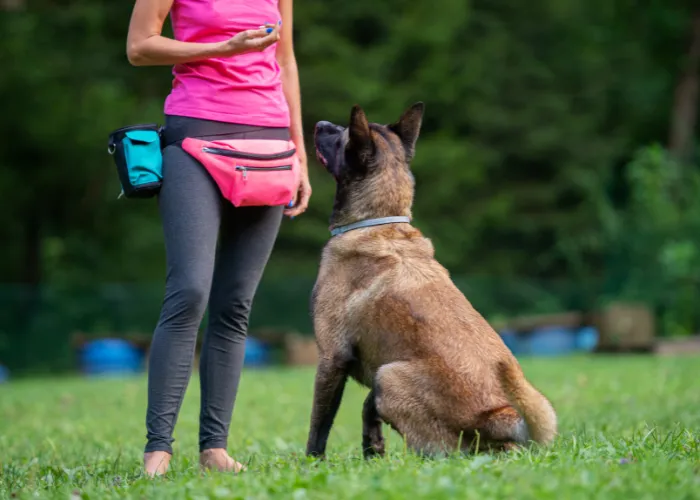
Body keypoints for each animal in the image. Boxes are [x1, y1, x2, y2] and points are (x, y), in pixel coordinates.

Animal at [306, 102, 556, 458]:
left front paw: (311, 463)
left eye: (342, 137)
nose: (321, 123)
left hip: (389, 375)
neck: (378, 222)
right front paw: (373, 450)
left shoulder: (331, 358)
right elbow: (368, 408)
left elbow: (319, 425)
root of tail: (498, 417)